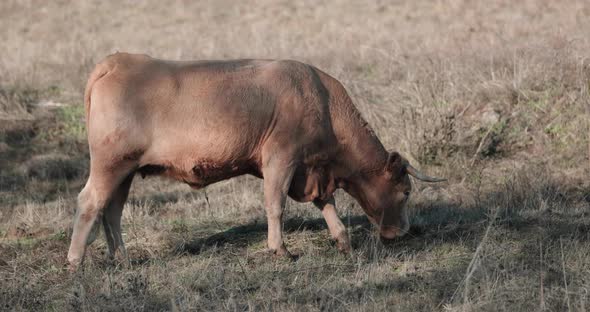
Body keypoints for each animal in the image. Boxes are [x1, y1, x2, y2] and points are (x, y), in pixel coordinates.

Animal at [67, 52, 446, 270]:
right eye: (406, 192)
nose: (403, 232)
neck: (321, 100)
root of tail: (117, 60)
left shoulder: (312, 169)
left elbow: (326, 203)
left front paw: (342, 241)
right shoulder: (281, 157)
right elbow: (275, 205)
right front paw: (280, 249)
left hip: (126, 170)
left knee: (112, 210)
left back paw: (122, 259)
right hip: (110, 163)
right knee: (90, 202)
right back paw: (74, 261)